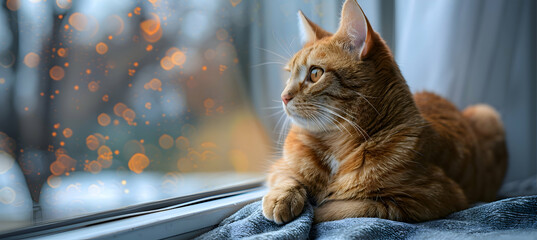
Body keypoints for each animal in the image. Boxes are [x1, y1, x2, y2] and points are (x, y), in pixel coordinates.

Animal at [262, 0, 506, 223]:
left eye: (315, 74)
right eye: (289, 75)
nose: (284, 97)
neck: (334, 143)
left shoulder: (427, 198)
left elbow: (343, 208)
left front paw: (316, 210)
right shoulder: (280, 166)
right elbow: (287, 177)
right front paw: (280, 198)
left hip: (487, 113)